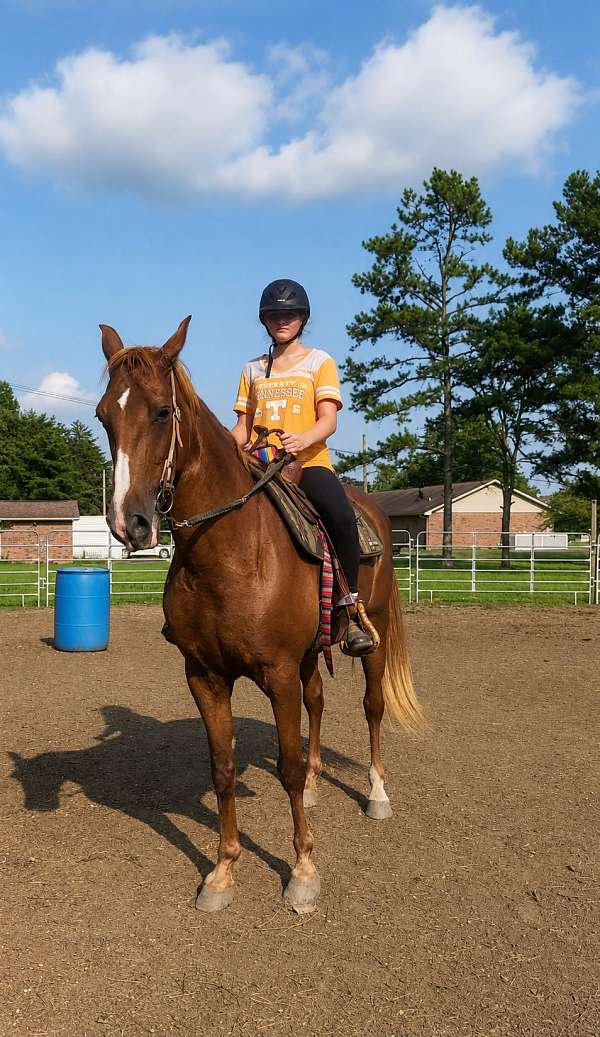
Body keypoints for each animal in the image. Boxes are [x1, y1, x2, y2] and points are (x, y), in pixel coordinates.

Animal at [96, 316, 421, 914]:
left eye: (162, 411)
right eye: (105, 416)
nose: (130, 523)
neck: (230, 553)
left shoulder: (277, 674)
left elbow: (286, 768)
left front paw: (303, 871)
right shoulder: (205, 676)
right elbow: (223, 769)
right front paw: (223, 872)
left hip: (376, 634)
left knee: (372, 707)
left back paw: (376, 794)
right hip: (312, 654)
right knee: (318, 702)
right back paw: (318, 785)